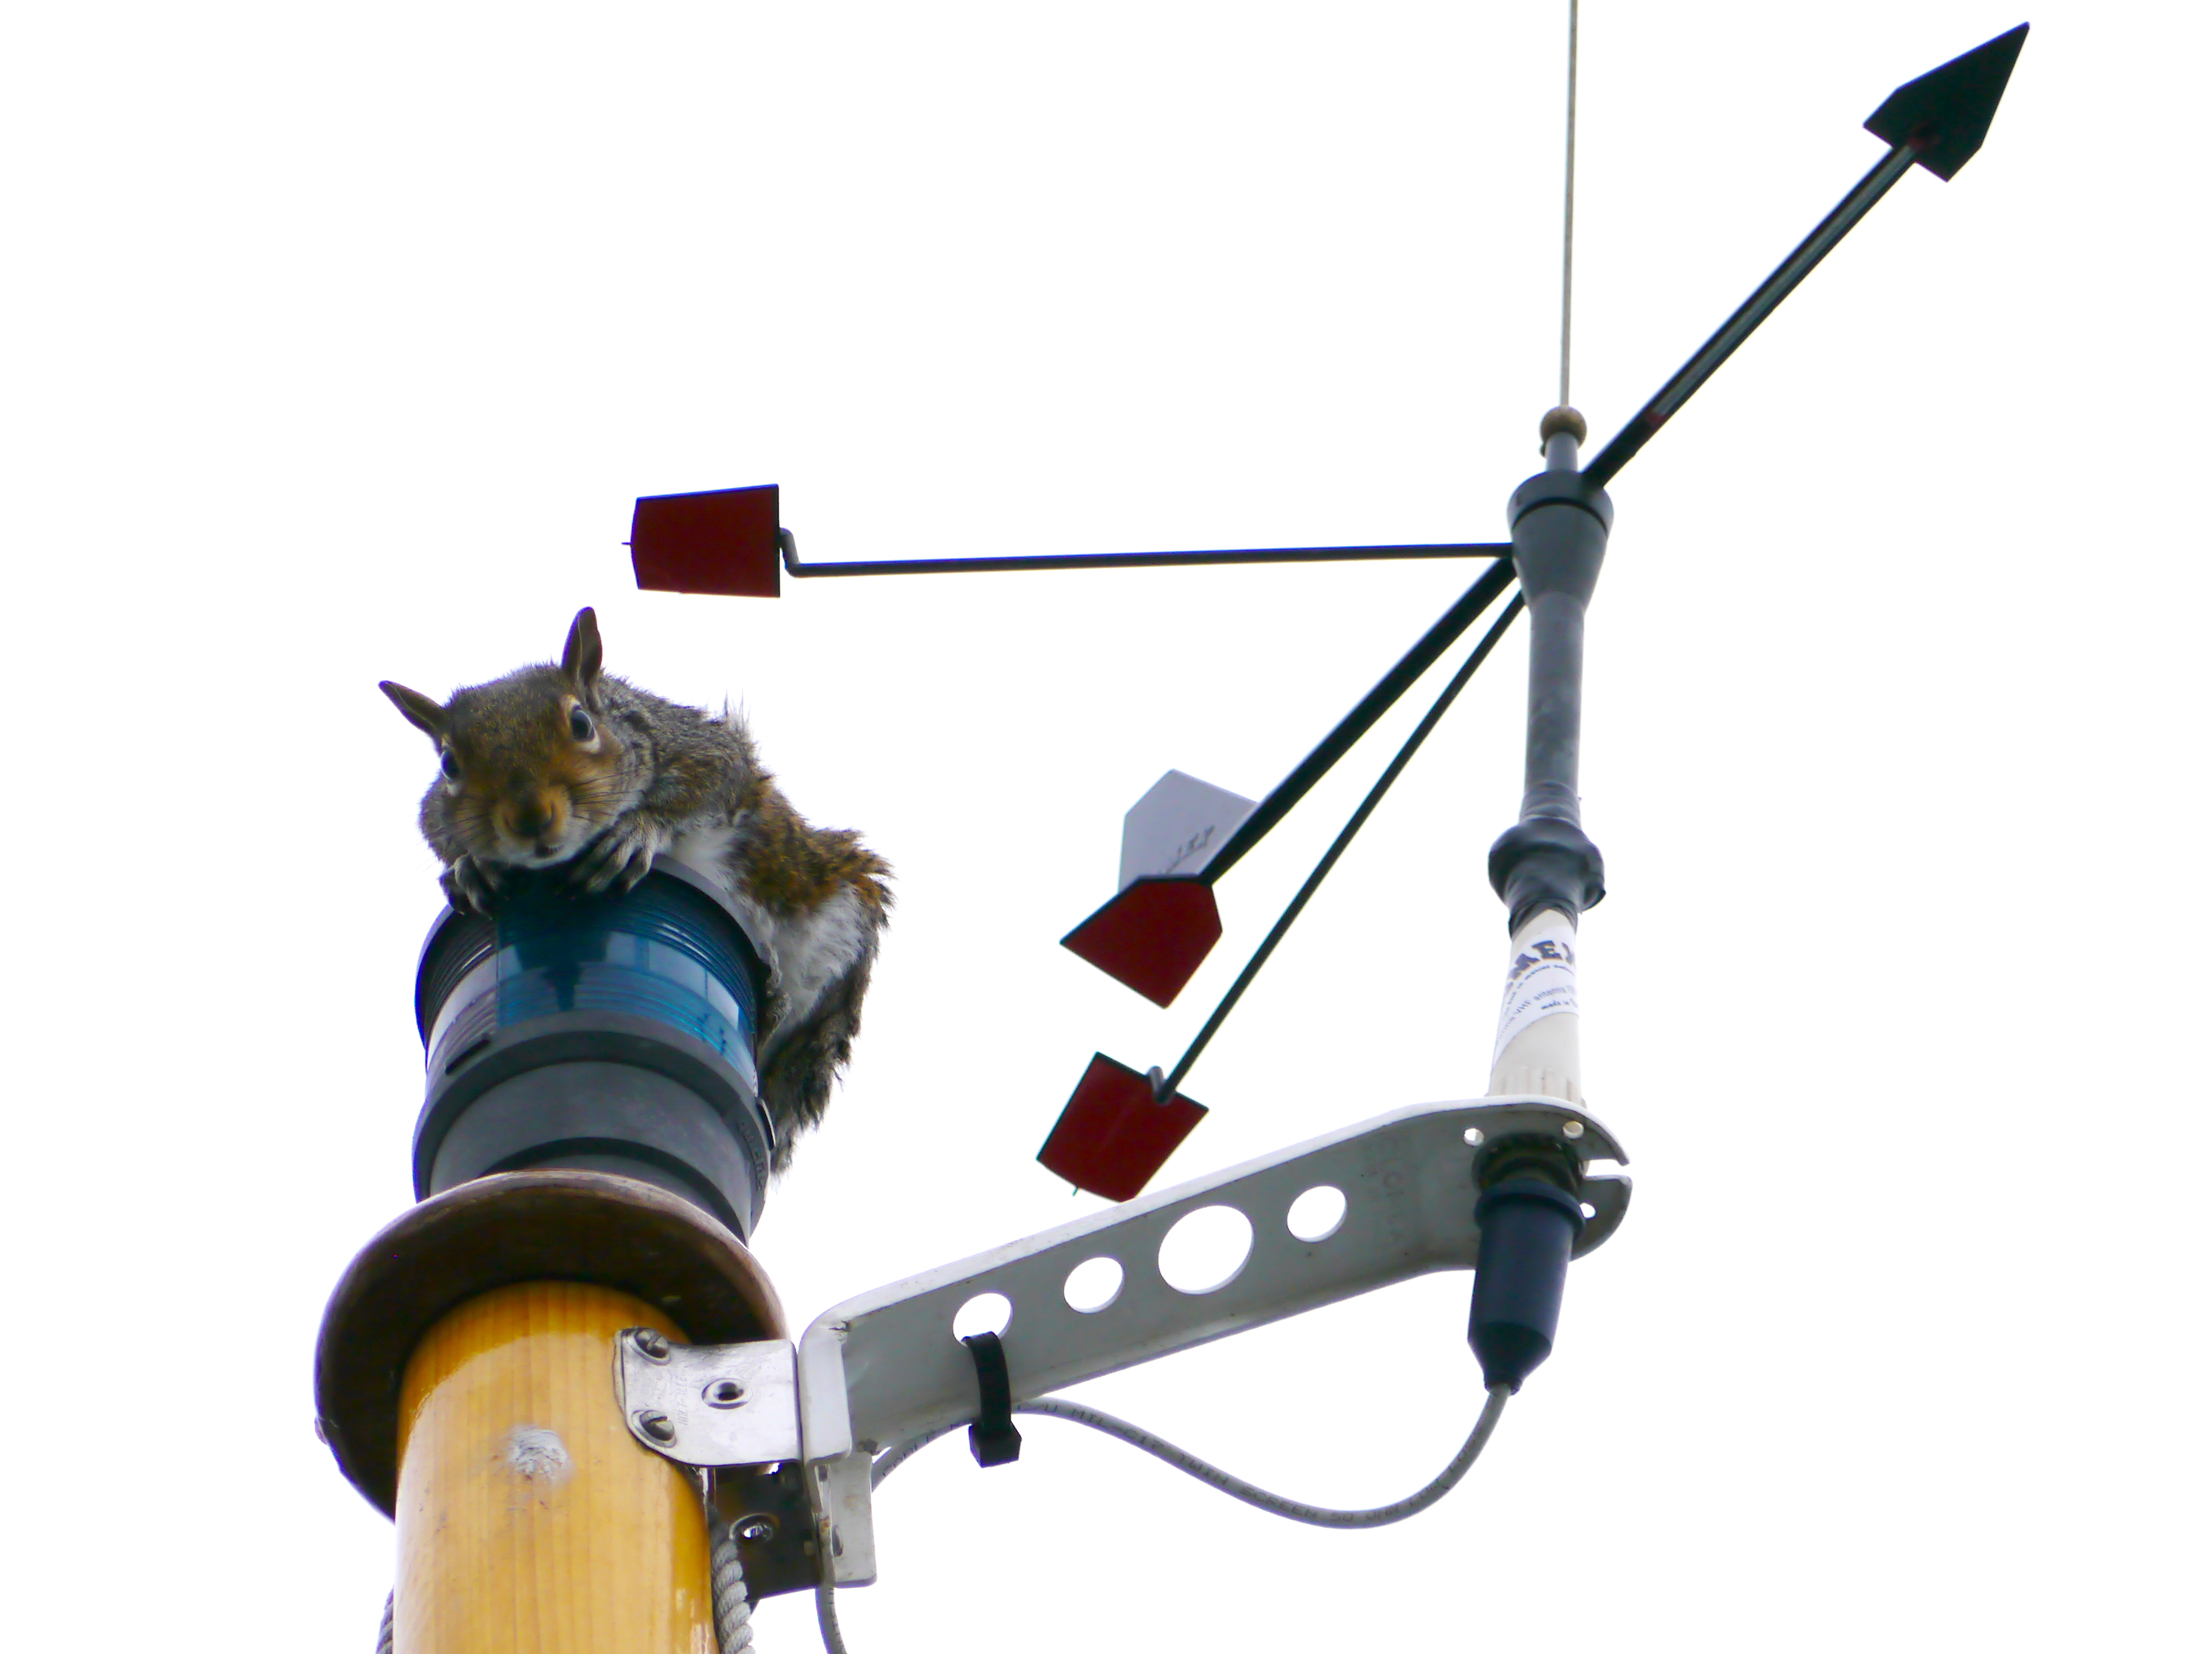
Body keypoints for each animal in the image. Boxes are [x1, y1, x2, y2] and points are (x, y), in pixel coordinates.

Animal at [379, 607, 891, 1170]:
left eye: (581, 724)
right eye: (448, 764)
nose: (531, 817)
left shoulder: (701, 750)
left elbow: (712, 782)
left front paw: (638, 830)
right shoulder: (433, 811)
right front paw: (469, 867)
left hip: (834, 914)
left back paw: (776, 998)